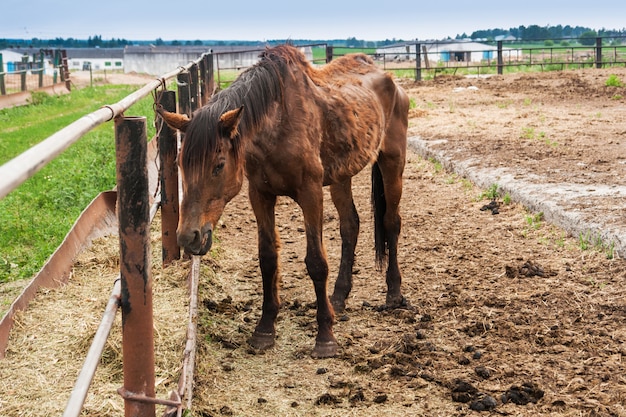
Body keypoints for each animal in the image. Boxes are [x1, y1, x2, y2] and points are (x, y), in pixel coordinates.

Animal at [158, 44, 408, 358]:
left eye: (218, 165)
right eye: (179, 163)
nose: (187, 236)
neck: (278, 124)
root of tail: (389, 78)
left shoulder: (310, 193)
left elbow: (316, 262)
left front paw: (325, 337)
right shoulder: (260, 195)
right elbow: (267, 258)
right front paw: (264, 329)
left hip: (392, 161)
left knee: (391, 222)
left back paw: (394, 293)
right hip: (341, 175)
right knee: (350, 225)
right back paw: (338, 296)